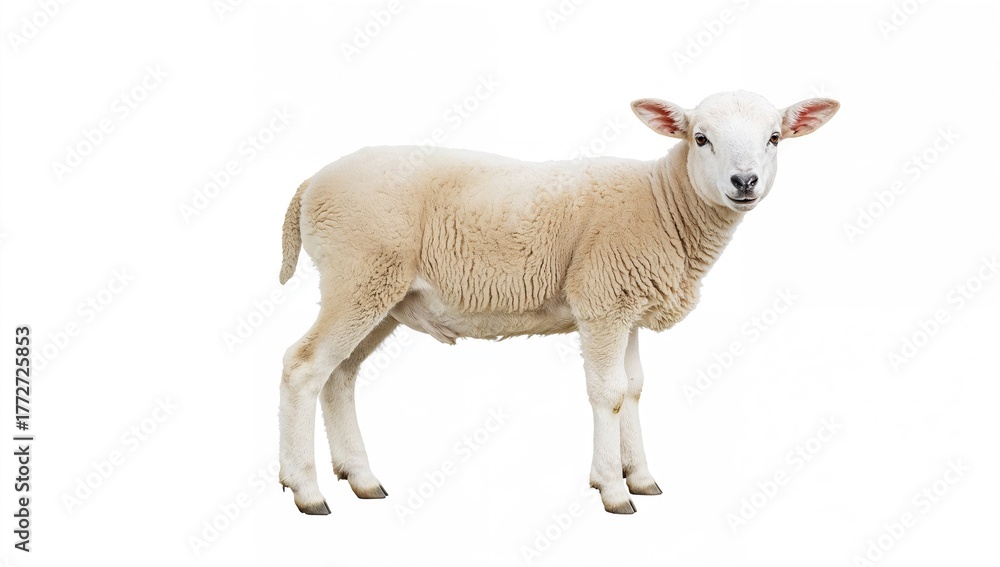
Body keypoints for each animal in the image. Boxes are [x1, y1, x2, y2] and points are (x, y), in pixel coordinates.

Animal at [277, 90, 839, 515]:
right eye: (700, 138)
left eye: (774, 137)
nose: (744, 182)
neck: (663, 204)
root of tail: (310, 184)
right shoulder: (602, 301)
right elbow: (608, 394)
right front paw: (612, 490)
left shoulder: (626, 308)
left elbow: (634, 389)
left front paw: (640, 477)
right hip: (359, 274)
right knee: (304, 367)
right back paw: (305, 490)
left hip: (379, 291)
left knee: (339, 375)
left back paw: (361, 478)